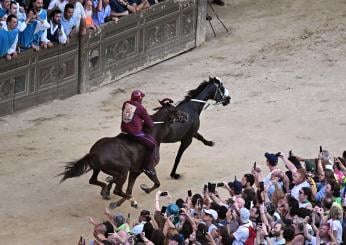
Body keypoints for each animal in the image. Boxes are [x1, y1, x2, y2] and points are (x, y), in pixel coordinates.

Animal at [58, 98, 187, 208]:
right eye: (175, 110)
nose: (187, 116)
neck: (153, 133)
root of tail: (94, 153)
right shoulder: (145, 169)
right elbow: (156, 184)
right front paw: (142, 191)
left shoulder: (134, 171)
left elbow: (128, 188)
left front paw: (112, 192)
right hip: (123, 171)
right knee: (118, 190)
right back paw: (132, 201)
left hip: (98, 169)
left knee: (93, 180)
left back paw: (105, 191)